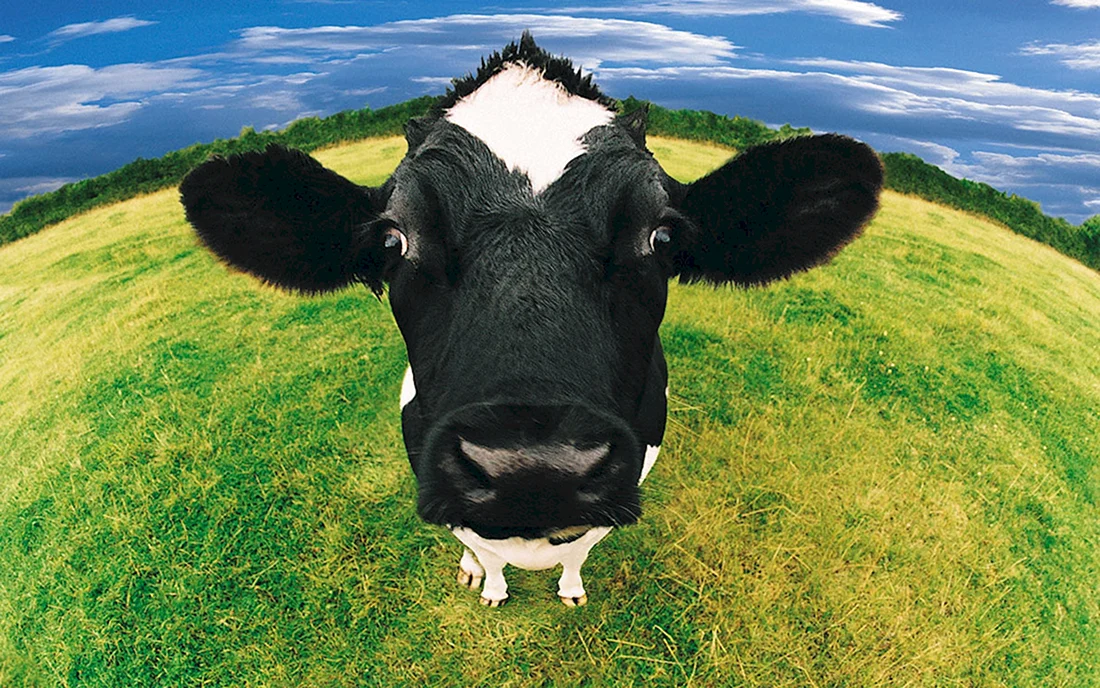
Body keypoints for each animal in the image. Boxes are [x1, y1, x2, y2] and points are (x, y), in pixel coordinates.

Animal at [179, 33, 882, 607]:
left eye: (660, 236)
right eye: (393, 240)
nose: (533, 469)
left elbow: (580, 547)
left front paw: (569, 588)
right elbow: (483, 548)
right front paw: (489, 584)